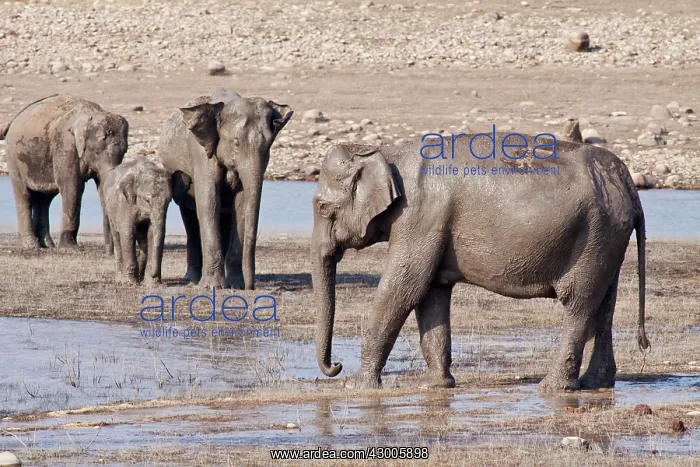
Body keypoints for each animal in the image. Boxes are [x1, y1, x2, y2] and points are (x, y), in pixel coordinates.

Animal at [1, 95, 129, 252]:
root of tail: (12, 121)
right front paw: (71, 248)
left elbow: (99, 186)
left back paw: (47, 245)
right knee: (25, 195)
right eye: (96, 152)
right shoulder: (66, 146)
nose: (109, 252)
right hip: (14, 158)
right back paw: (32, 246)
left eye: (125, 151)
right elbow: (73, 187)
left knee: (44, 199)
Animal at [104, 156, 175, 285]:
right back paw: (121, 279)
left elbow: (151, 233)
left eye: (169, 201)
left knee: (143, 240)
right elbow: (127, 233)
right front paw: (131, 283)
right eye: (147, 200)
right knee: (117, 237)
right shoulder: (125, 203)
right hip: (110, 209)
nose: (153, 274)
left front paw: (152, 283)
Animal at [159, 88, 293, 289]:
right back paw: (192, 279)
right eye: (236, 143)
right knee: (189, 216)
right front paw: (212, 287)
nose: (251, 287)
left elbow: (241, 205)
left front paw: (236, 286)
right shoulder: (201, 153)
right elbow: (209, 203)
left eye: (268, 146)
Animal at [311, 135, 649, 391]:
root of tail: (630, 188)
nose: (336, 366)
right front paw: (437, 386)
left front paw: (356, 387)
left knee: (578, 304)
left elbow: (403, 288)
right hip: (607, 240)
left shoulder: (420, 217)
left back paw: (552, 387)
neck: (387, 151)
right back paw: (597, 383)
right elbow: (431, 293)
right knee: (603, 305)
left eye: (322, 206)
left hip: (594, 238)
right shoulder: (429, 225)